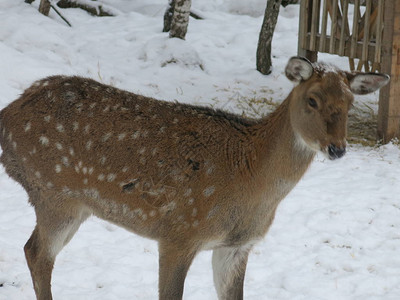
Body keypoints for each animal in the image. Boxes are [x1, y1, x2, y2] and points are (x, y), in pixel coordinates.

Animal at [0, 57, 388, 298]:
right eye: (312, 100)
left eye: (350, 103)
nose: (337, 148)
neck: (250, 175)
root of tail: (7, 115)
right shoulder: (178, 232)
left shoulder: (235, 246)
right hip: (55, 193)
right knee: (37, 254)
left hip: (75, 205)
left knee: (33, 250)